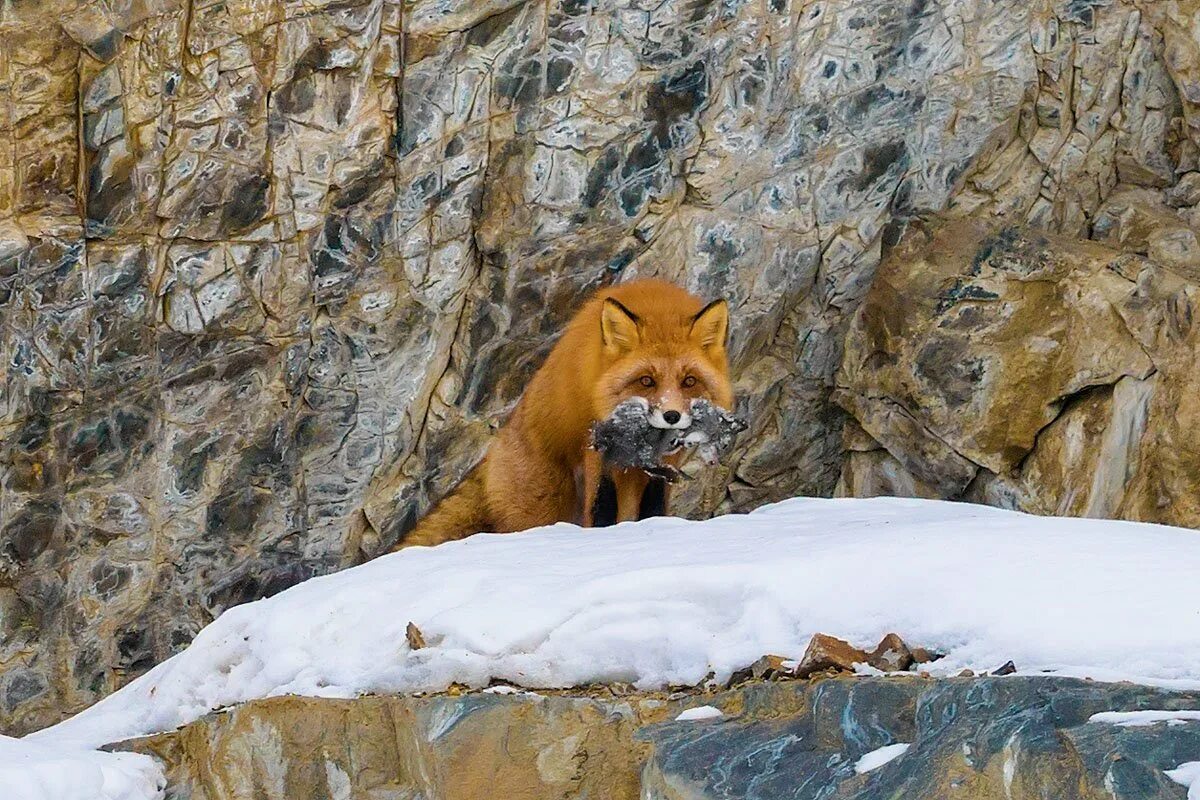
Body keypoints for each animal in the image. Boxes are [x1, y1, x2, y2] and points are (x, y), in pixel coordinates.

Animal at [393, 278, 729, 546]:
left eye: (689, 381)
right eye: (647, 381)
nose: (672, 416)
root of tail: (492, 452)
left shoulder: (664, 466)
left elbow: (654, 508)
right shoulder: (598, 452)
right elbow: (600, 507)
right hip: (545, 503)